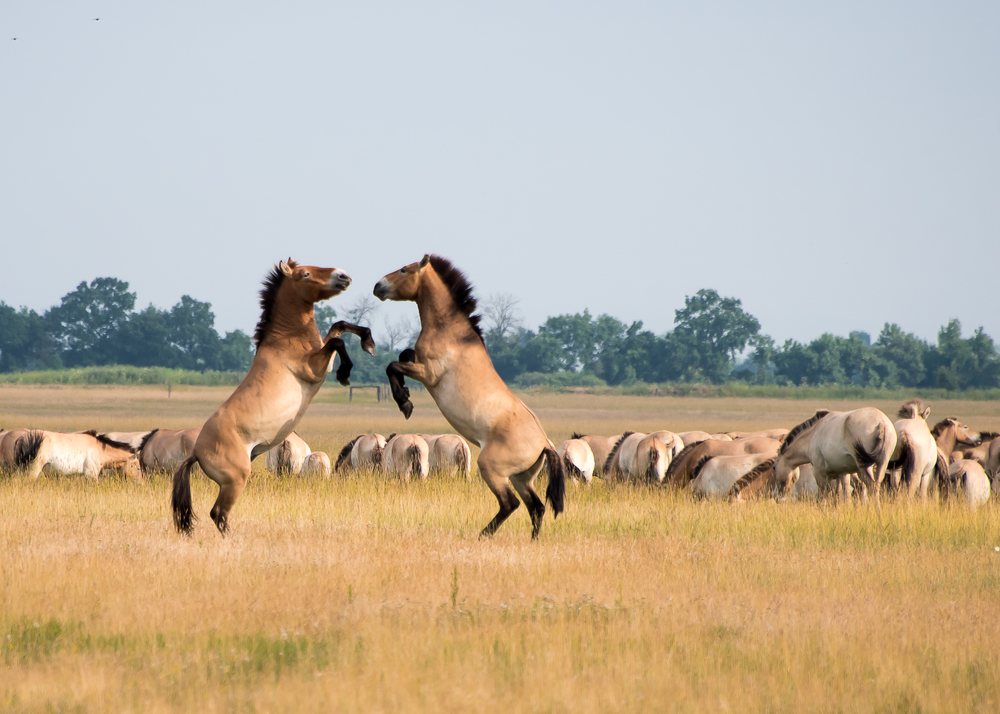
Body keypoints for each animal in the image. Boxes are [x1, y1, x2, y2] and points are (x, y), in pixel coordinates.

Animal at [172, 258, 376, 532]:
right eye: (305, 274)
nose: (343, 276)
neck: (286, 338)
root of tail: (196, 452)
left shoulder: (322, 358)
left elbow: (339, 327)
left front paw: (368, 341)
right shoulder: (313, 369)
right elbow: (337, 342)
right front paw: (346, 373)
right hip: (235, 481)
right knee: (219, 513)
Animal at [374, 253, 568, 536]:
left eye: (403, 270)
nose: (378, 286)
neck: (452, 333)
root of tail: (544, 444)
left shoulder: (428, 374)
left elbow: (393, 365)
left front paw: (405, 402)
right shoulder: (419, 363)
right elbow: (403, 355)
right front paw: (405, 395)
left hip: (491, 469)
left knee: (510, 504)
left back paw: (483, 535)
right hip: (521, 478)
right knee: (536, 507)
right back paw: (532, 539)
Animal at [768, 406, 896, 500]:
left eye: (774, 467)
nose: (776, 495)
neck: (813, 434)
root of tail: (881, 422)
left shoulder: (820, 473)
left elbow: (824, 496)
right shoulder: (840, 473)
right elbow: (839, 495)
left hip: (864, 467)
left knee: (871, 487)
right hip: (881, 464)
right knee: (874, 487)